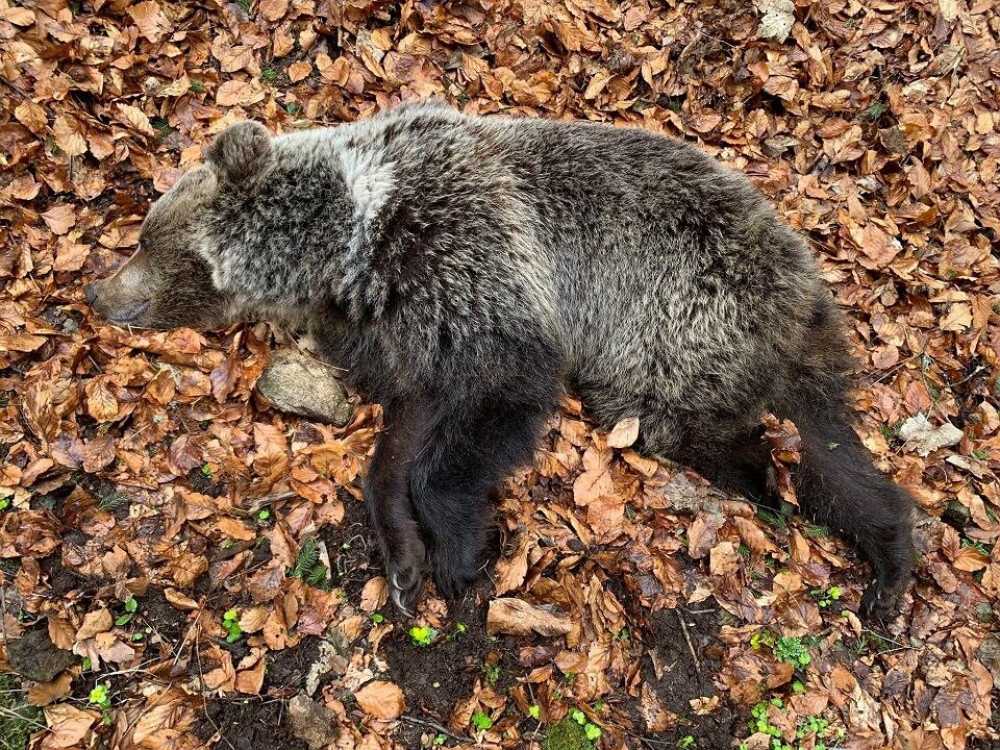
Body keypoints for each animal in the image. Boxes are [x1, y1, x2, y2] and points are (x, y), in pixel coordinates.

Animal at [88, 100, 916, 620]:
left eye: (145, 239)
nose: (97, 290)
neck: (354, 255)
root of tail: (804, 288)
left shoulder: (471, 266)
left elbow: (492, 403)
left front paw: (461, 555)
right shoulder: (403, 330)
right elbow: (401, 435)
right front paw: (404, 564)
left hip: (676, 323)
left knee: (699, 428)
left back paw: (779, 487)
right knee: (830, 453)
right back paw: (880, 556)